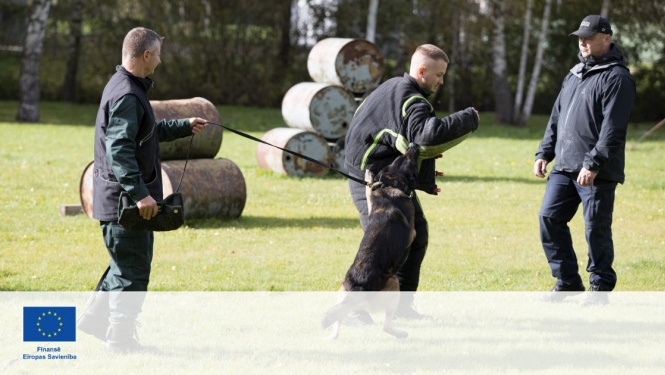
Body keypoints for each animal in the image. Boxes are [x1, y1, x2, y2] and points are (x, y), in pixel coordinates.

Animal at [322, 143, 420, 340]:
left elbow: (368, 191)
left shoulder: (371, 203)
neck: (392, 183)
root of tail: (359, 289)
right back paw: (401, 334)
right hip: (394, 284)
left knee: (337, 321)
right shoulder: (411, 232)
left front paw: (369, 177)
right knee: (386, 326)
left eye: (401, 156)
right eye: (410, 158)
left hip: (341, 294)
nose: (414, 145)